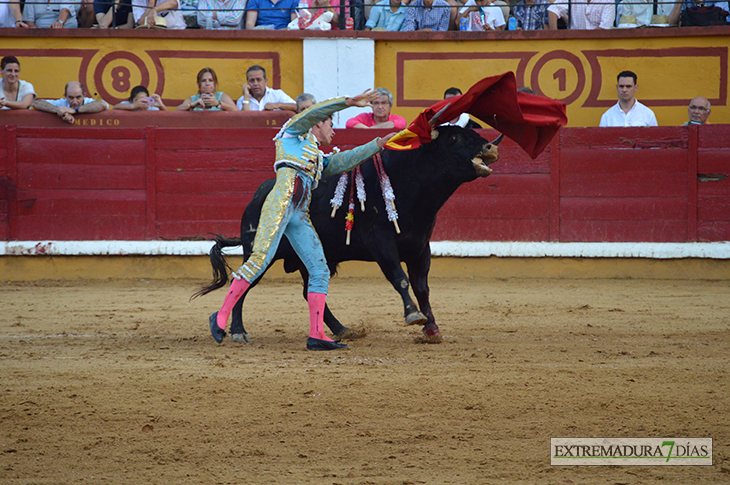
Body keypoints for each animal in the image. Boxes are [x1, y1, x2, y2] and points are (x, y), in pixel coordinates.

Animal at [193, 126, 500, 342]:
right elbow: (399, 279)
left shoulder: (420, 248)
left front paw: (432, 328)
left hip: (312, 258)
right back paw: (236, 330)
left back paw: (341, 329)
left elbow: (422, 287)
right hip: (262, 251)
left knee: (308, 289)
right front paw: (414, 316)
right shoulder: (382, 244)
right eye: (454, 139)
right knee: (245, 281)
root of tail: (256, 197)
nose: (490, 146)